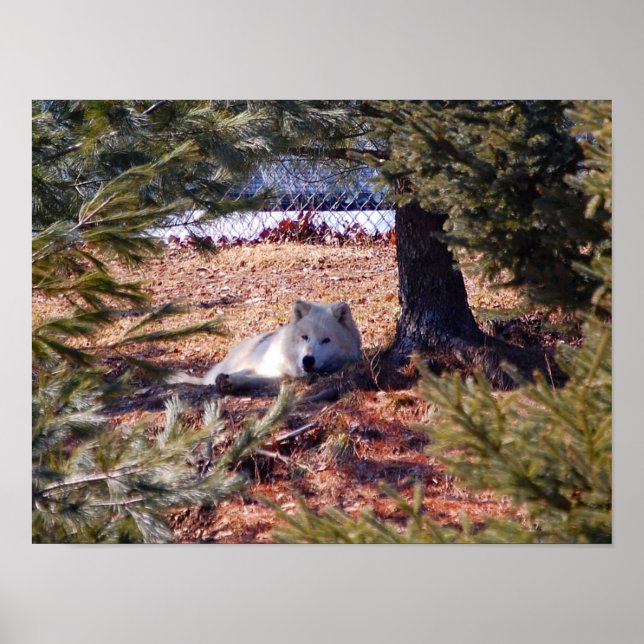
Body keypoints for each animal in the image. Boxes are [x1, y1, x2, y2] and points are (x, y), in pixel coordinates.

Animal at [171, 300, 362, 393]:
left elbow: (253, 379)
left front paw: (232, 382)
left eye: (326, 340)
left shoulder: (279, 377)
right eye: (305, 337)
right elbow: (245, 371)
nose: (308, 360)